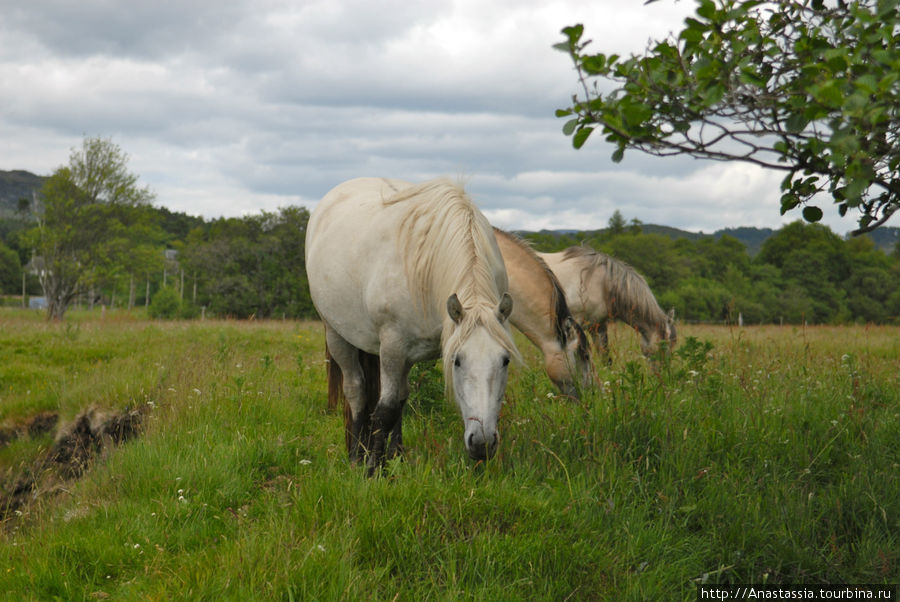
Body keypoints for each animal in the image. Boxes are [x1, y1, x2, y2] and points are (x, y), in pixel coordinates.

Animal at [308, 176, 520, 472]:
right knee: (356, 390)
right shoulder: (392, 347)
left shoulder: (405, 352)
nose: (482, 443)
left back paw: (393, 454)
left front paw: (394, 460)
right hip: (337, 335)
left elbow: (397, 404)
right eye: (456, 361)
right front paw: (373, 469)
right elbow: (385, 410)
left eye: (505, 360)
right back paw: (356, 456)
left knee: (399, 396)